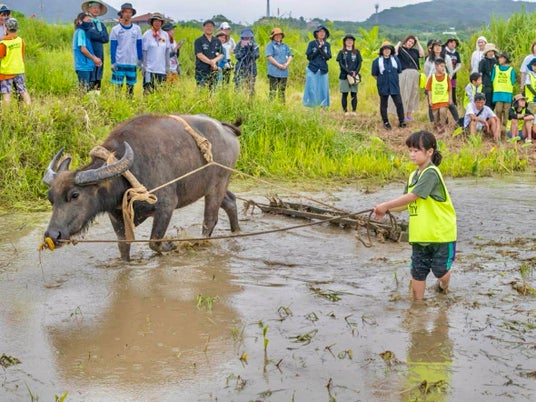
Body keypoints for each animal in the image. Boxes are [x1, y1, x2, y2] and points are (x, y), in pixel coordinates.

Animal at [43, 114, 241, 261]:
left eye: (75, 195)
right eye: (51, 198)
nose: (53, 235)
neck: (127, 175)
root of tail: (225, 129)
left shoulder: (166, 206)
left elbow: (154, 241)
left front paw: (172, 245)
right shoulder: (117, 217)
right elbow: (123, 247)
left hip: (218, 185)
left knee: (210, 220)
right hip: (212, 186)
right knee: (230, 201)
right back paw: (236, 231)